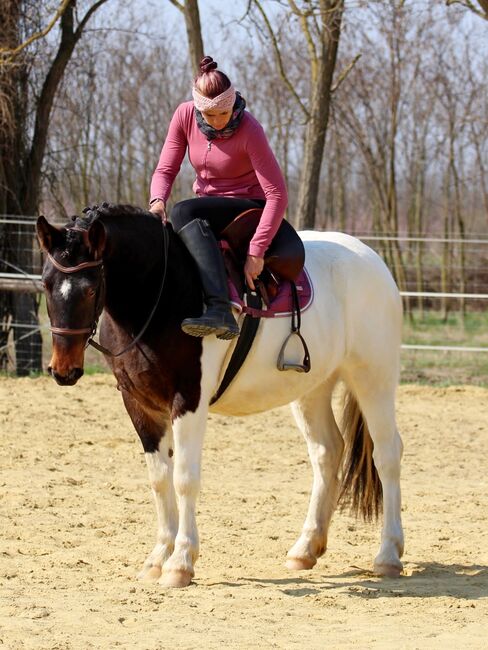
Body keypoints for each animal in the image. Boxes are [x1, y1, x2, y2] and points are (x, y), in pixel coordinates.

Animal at [36, 203, 404, 588]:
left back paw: (388, 555)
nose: (63, 369)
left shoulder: (188, 400)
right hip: (313, 389)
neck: (162, 294)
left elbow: (184, 478)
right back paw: (305, 549)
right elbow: (159, 479)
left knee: (387, 454)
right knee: (327, 453)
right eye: (46, 284)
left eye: (91, 289)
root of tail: (372, 260)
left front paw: (180, 562)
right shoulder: (139, 404)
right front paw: (157, 558)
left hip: (373, 378)